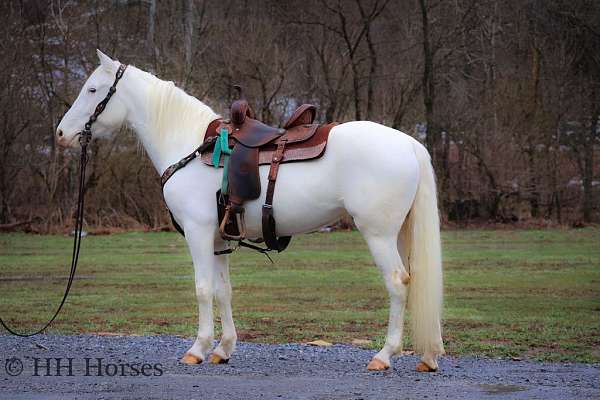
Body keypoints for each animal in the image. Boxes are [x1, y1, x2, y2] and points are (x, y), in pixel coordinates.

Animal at [56, 51, 446, 374]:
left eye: (92, 90)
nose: (61, 133)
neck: (190, 147)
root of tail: (408, 143)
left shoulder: (198, 233)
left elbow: (202, 289)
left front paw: (197, 349)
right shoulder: (218, 240)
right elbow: (223, 291)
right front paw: (222, 349)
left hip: (378, 234)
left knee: (397, 283)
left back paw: (384, 355)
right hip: (399, 234)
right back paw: (426, 356)